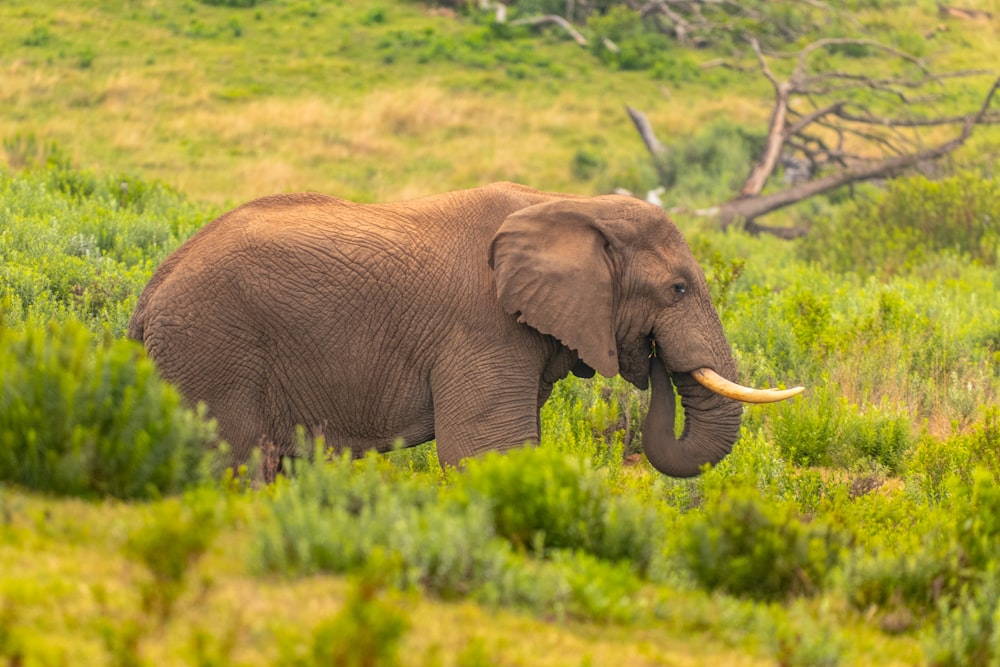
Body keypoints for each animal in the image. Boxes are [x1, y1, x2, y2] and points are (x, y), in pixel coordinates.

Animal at [129, 181, 800, 474]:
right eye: (678, 289)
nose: (652, 358)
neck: (572, 205)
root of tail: (150, 293)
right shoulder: (482, 329)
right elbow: (487, 450)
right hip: (212, 349)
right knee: (236, 461)